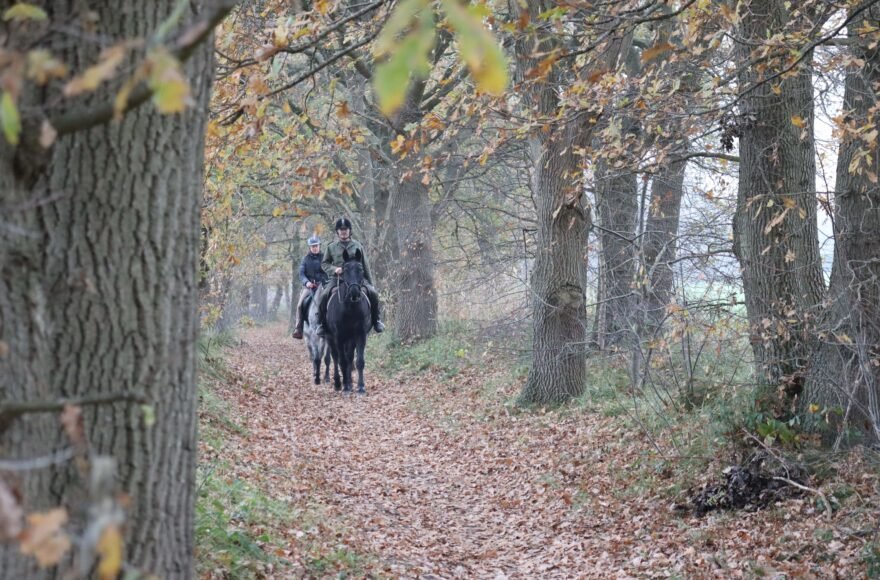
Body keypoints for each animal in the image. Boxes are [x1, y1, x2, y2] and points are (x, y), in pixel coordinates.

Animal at [326, 247, 372, 392]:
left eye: (361, 269)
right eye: (344, 270)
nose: (354, 292)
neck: (350, 308)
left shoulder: (360, 334)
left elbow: (359, 361)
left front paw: (361, 387)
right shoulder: (339, 336)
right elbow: (342, 361)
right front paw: (345, 387)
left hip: (350, 339)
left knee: (349, 357)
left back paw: (350, 382)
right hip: (331, 337)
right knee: (335, 357)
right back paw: (338, 383)